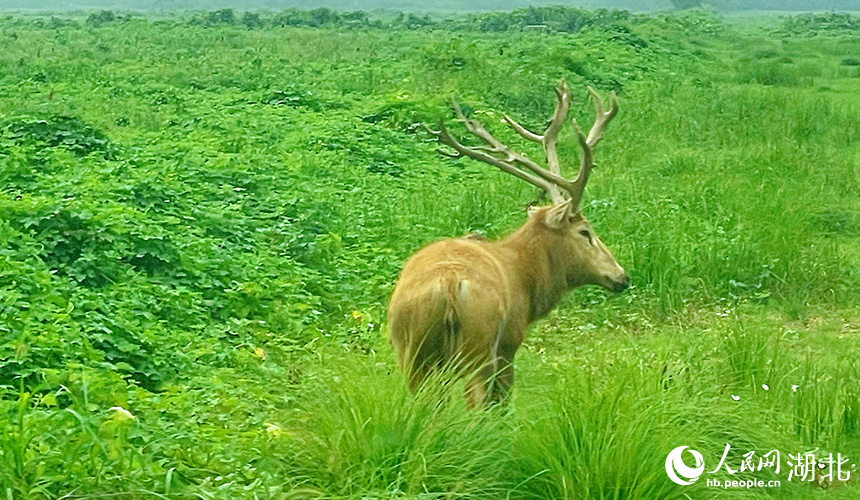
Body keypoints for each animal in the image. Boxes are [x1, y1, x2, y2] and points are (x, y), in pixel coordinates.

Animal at [386, 80, 628, 408]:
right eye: (584, 231)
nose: (622, 276)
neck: (526, 279)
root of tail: (448, 284)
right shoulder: (510, 344)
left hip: (411, 349)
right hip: (481, 344)